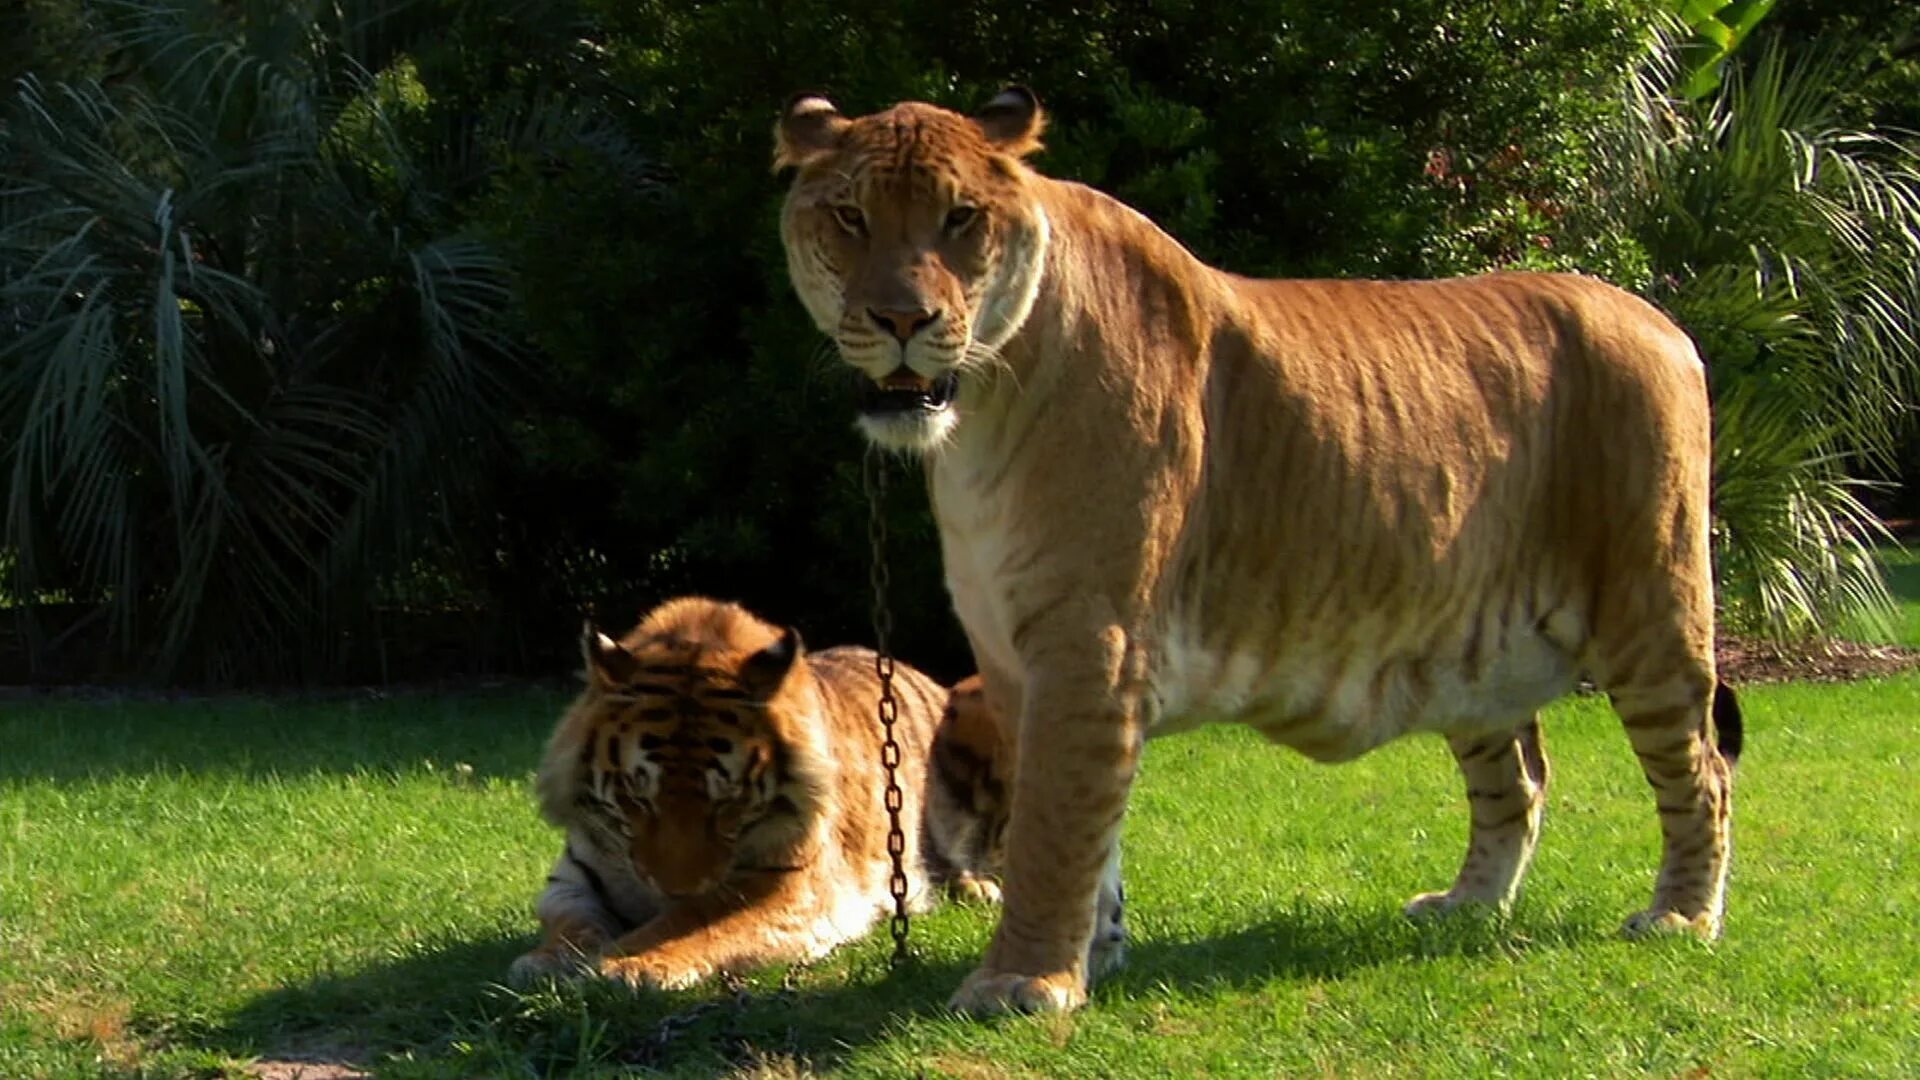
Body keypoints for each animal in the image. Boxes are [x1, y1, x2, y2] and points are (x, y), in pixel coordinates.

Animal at [510, 591, 1021, 991]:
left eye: (727, 801)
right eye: (638, 797)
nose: (673, 890)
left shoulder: (786, 886)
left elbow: (692, 919)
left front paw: (627, 964)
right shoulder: (571, 881)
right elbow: (574, 924)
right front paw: (547, 961)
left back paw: (978, 887)